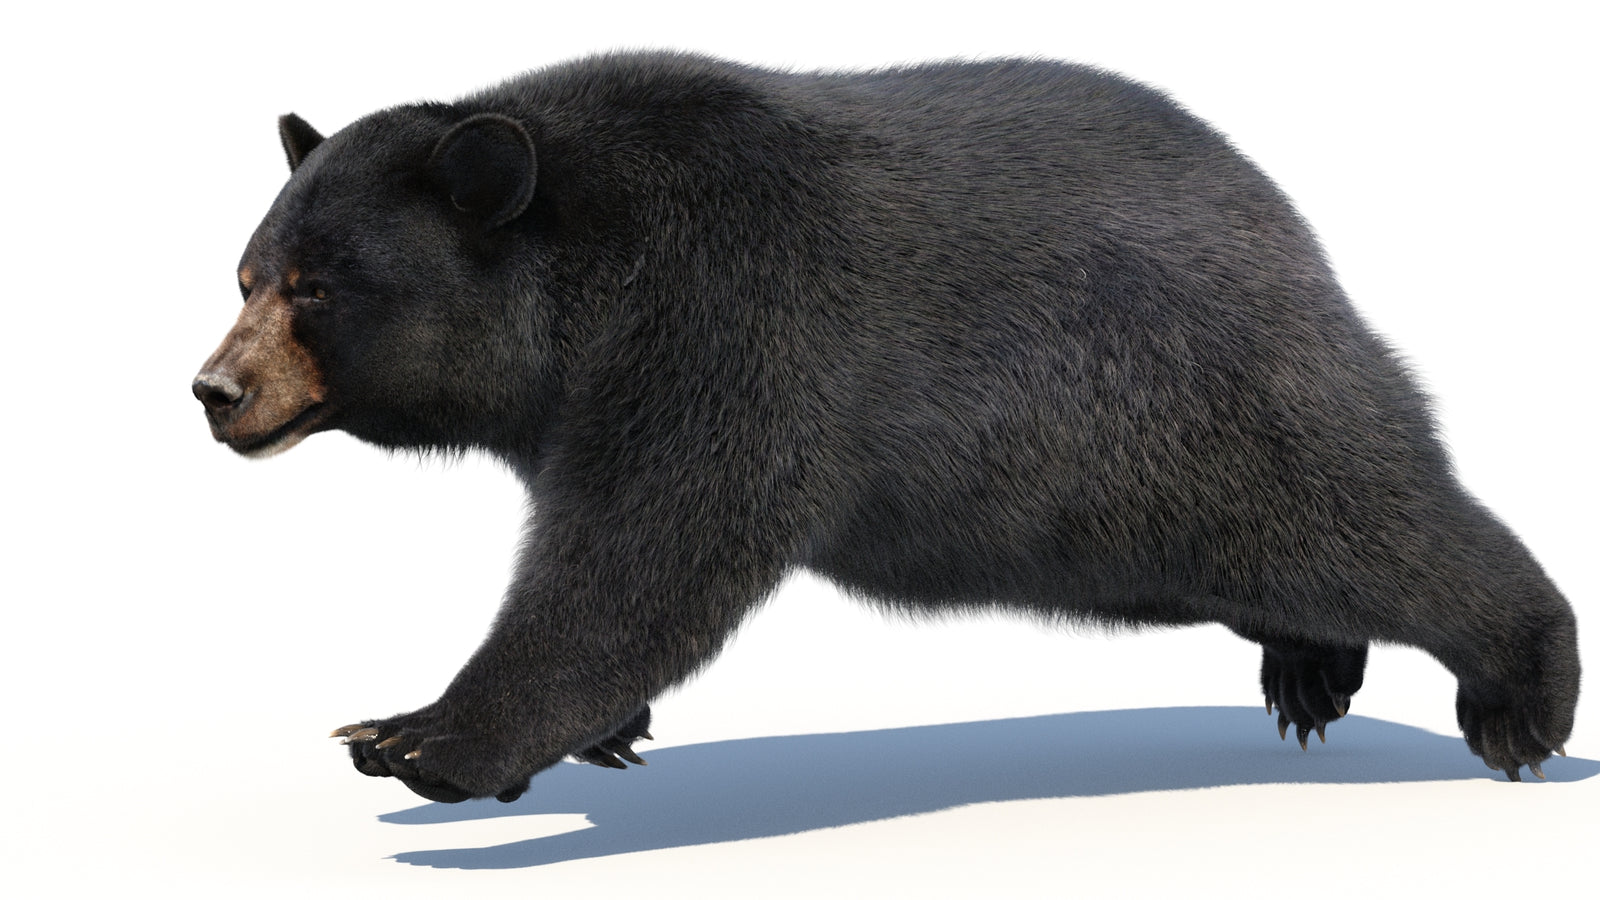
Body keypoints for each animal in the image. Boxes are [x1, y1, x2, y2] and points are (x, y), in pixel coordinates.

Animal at [193, 51, 1579, 803]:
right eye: (247, 274)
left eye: (318, 287)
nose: (214, 392)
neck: (582, 280)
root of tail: (1291, 227)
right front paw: (596, 736)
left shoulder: (728, 321)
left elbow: (647, 553)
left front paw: (415, 735)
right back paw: (1309, 670)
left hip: (1191, 414)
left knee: (1373, 520)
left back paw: (1521, 697)